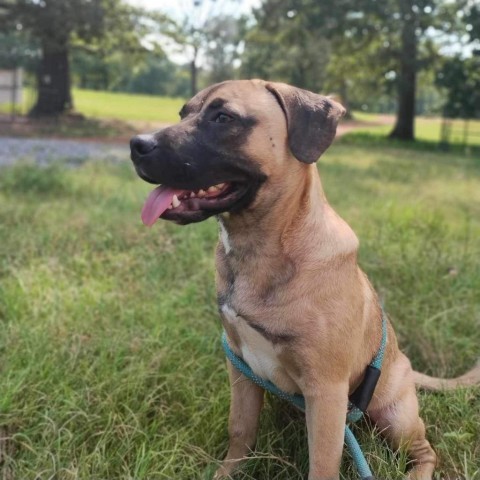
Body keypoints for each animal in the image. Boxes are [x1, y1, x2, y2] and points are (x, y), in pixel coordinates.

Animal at [130, 80, 480, 478]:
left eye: (223, 118)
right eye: (183, 113)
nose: (136, 145)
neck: (261, 249)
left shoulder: (325, 391)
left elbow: (322, 464)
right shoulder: (239, 366)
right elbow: (240, 431)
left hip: (394, 414)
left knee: (425, 451)